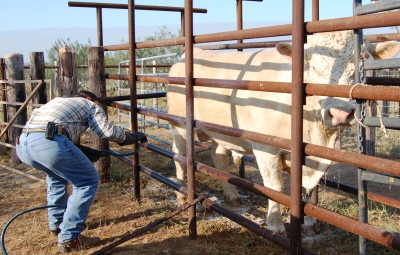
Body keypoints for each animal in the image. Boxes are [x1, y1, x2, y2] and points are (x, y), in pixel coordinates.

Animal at [166, 30, 400, 236]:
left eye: (362, 61)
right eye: (312, 66)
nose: (340, 113)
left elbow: (309, 189)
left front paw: (309, 222)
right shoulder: (266, 147)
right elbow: (275, 186)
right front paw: (275, 224)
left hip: (221, 132)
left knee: (219, 158)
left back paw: (232, 195)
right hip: (179, 125)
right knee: (180, 156)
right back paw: (181, 195)